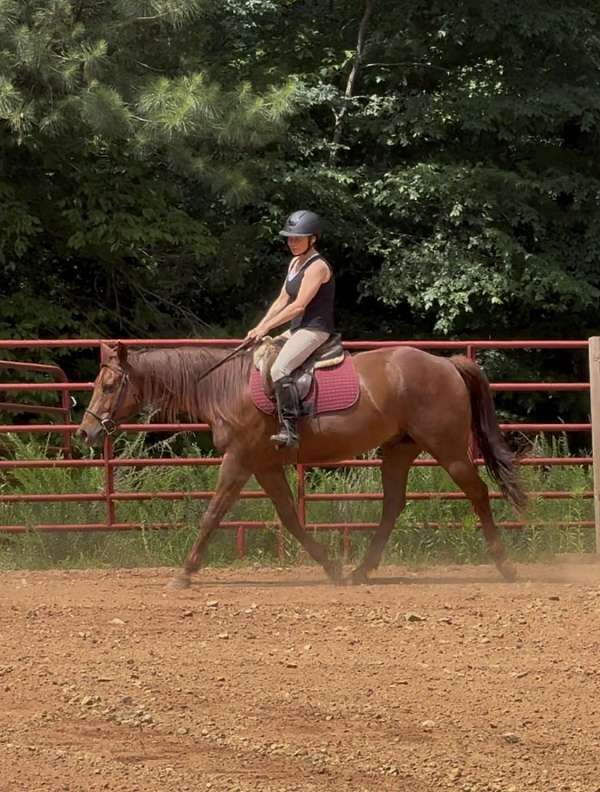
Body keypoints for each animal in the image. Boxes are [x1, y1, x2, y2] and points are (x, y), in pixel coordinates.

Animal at [78, 341, 527, 587]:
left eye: (110, 385)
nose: (86, 432)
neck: (224, 388)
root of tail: (446, 363)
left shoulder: (238, 460)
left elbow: (212, 513)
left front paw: (184, 573)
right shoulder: (263, 466)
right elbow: (291, 519)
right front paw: (331, 567)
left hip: (447, 449)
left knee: (478, 493)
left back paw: (506, 565)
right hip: (399, 451)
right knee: (392, 505)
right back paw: (360, 570)